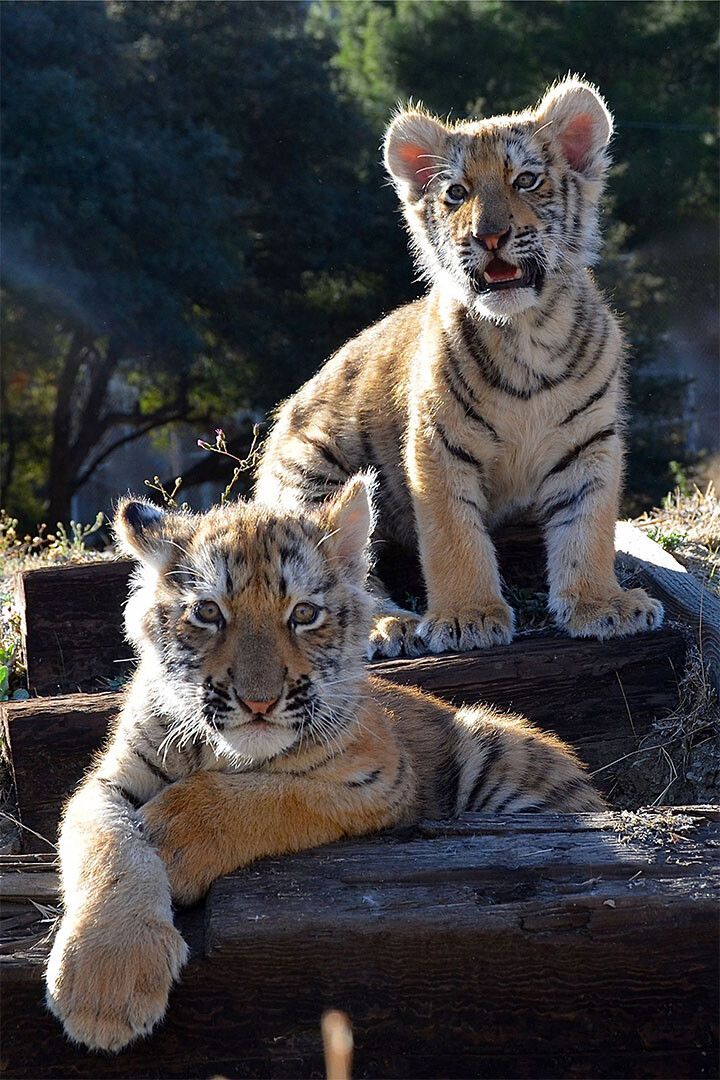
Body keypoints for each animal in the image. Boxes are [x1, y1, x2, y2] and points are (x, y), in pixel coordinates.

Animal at [45, 475, 604, 1053]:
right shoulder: (107, 782)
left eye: (304, 614)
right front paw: (105, 979)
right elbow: (107, 847)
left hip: (495, 745)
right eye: (208, 612)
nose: (259, 702)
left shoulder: (379, 778)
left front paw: (172, 835)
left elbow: (277, 795)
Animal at [254, 76, 664, 659]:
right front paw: (468, 617)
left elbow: (587, 526)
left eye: (526, 180)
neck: (525, 334)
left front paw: (600, 604)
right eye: (456, 194)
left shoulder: (590, 441)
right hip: (315, 473)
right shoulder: (437, 444)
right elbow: (454, 536)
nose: (487, 236)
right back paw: (388, 625)